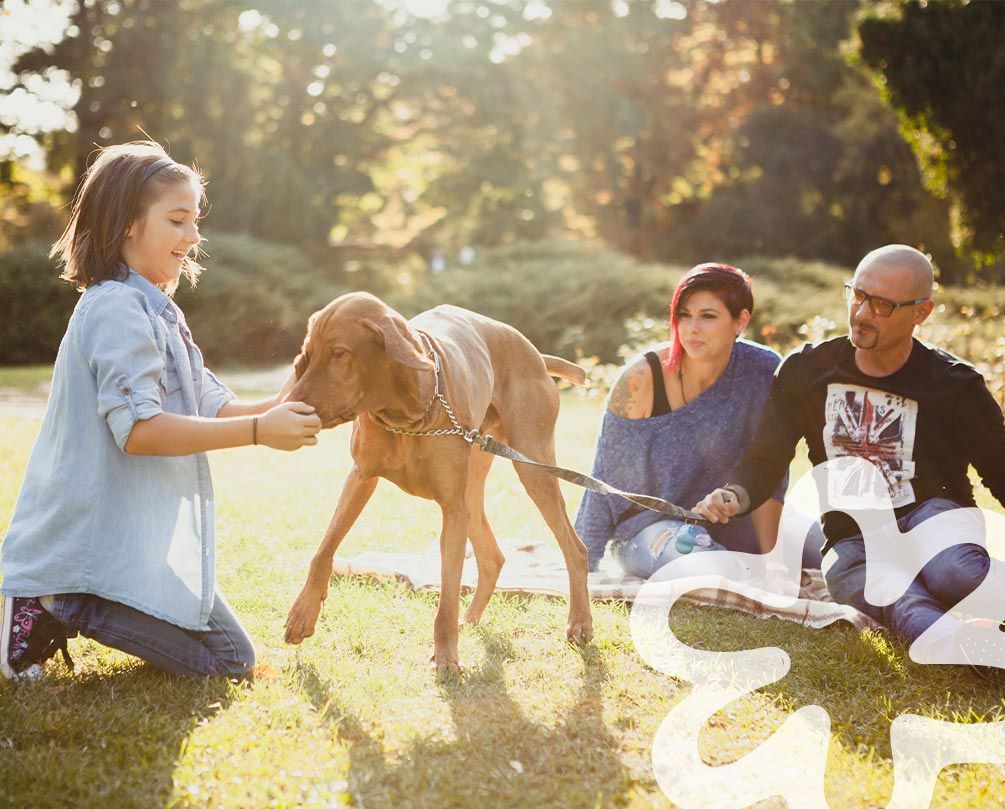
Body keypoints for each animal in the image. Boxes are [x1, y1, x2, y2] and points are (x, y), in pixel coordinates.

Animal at [283, 289, 590, 667]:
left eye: (340, 353)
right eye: (307, 355)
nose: (292, 406)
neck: (406, 414)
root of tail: (535, 353)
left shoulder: (452, 508)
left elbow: (447, 592)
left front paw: (445, 656)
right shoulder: (360, 478)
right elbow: (323, 550)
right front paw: (303, 613)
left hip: (533, 467)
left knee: (575, 548)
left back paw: (579, 623)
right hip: (476, 481)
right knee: (493, 557)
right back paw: (470, 621)